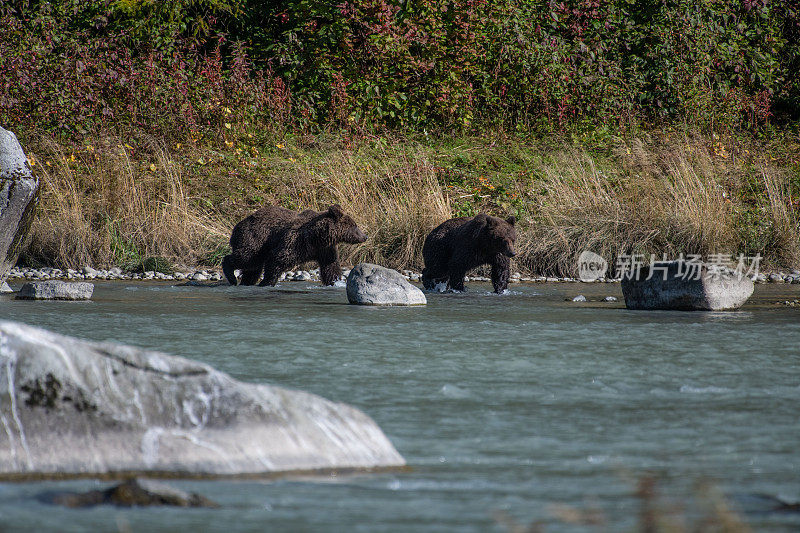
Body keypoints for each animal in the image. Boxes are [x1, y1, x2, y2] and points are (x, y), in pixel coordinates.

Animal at [220, 204, 368, 286]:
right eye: (354, 226)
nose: (365, 236)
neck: (318, 236)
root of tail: (237, 226)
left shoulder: (325, 250)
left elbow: (331, 266)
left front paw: (335, 281)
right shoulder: (297, 241)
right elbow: (278, 258)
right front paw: (267, 282)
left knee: (253, 266)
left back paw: (246, 281)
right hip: (254, 237)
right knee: (247, 257)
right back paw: (232, 277)